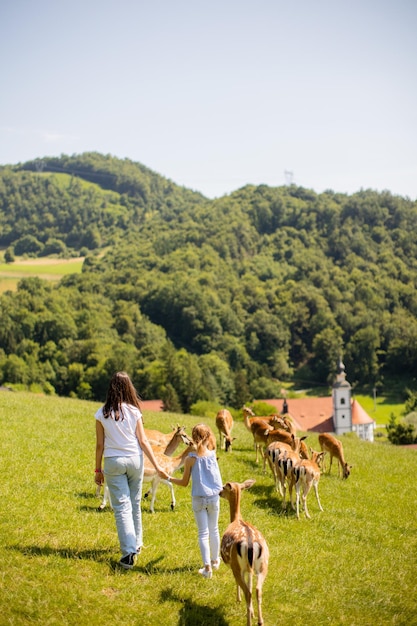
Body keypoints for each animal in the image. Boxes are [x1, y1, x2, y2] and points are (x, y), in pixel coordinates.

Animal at [219, 478, 268, 624]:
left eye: (223, 487)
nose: (219, 493)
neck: (236, 519)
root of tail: (250, 544)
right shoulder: (248, 569)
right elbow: (250, 583)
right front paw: (252, 613)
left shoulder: (234, 566)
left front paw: (238, 599)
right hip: (263, 565)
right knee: (257, 590)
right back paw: (260, 621)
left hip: (236, 565)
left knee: (248, 591)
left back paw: (248, 621)